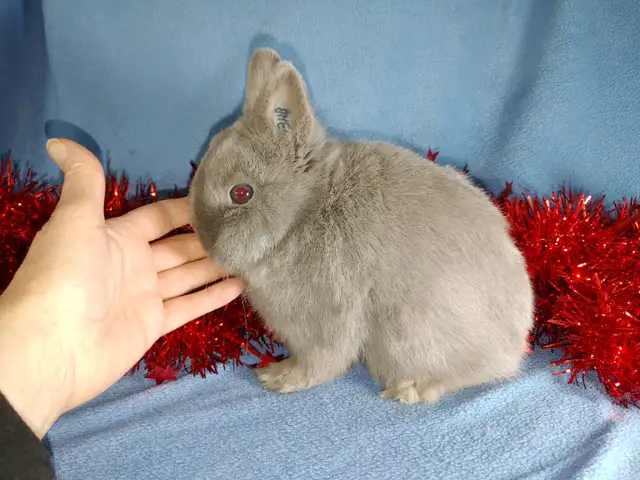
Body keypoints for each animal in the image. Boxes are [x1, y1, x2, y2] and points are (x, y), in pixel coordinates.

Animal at [188, 48, 534, 404]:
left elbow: (320, 362)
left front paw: (276, 378)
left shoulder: (324, 319)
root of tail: (511, 350)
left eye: (241, 193)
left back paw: (409, 390)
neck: (301, 215)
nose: (202, 237)